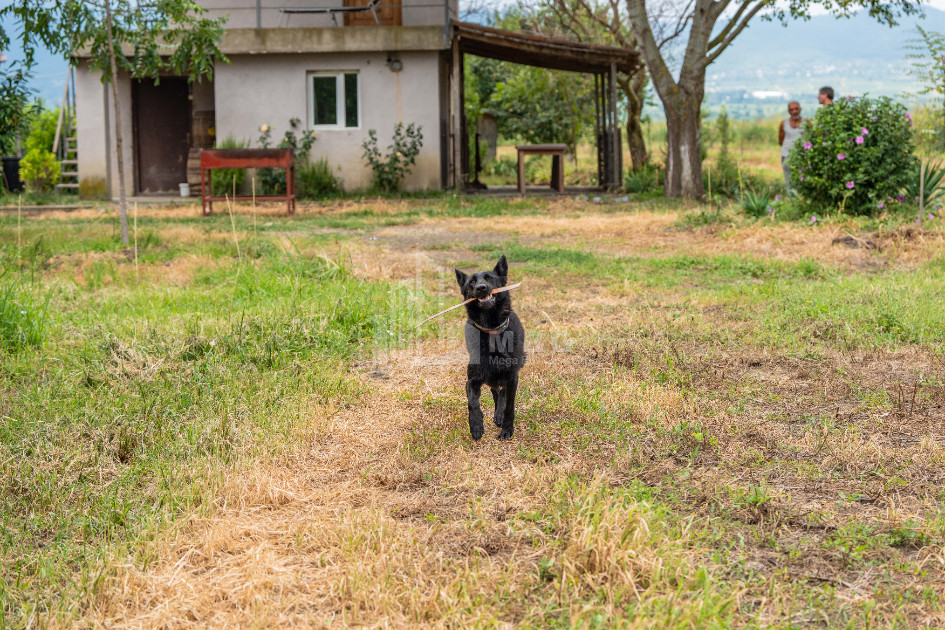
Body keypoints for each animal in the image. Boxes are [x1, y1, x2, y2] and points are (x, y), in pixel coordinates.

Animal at [456, 254, 528, 442]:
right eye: (472, 282)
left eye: (489, 278)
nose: (481, 288)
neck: (492, 329)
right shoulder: (473, 379)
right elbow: (472, 401)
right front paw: (476, 425)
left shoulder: (512, 377)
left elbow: (509, 406)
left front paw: (507, 429)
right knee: (495, 391)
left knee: (501, 393)